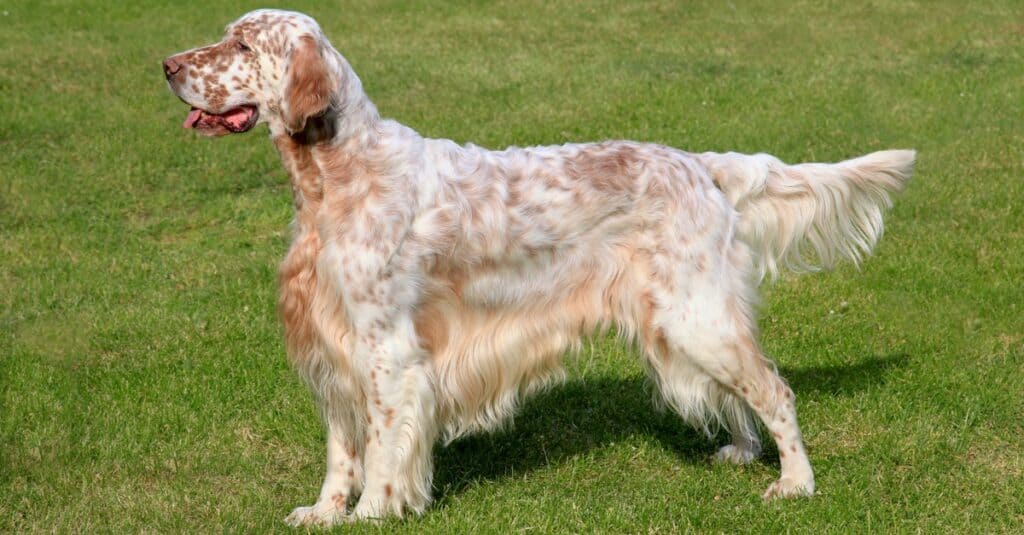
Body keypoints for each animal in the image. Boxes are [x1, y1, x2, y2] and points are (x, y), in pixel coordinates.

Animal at [163, 8, 917, 524]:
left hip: (695, 315)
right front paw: (323, 513)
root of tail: (701, 164)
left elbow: (380, 448)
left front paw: (372, 513)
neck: (338, 175)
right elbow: (341, 449)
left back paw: (795, 483)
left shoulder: (385, 351)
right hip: (680, 322)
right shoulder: (333, 343)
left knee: (775, 390)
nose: (167, 66)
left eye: (241, 44)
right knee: (740, 393)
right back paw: (740, 451)